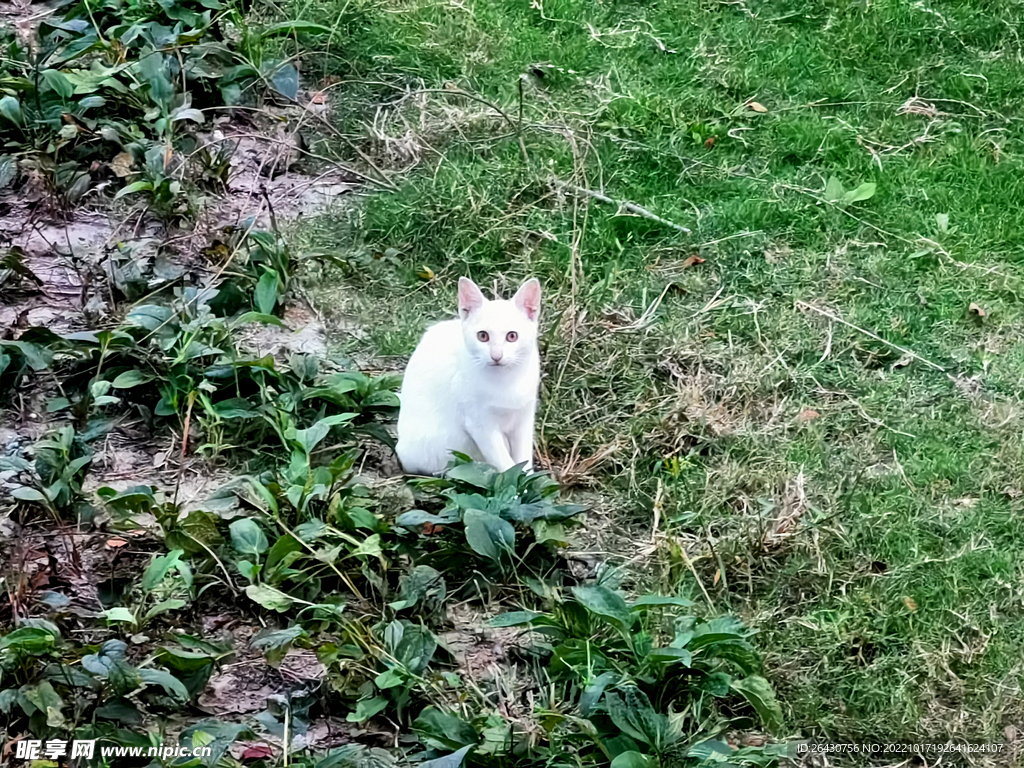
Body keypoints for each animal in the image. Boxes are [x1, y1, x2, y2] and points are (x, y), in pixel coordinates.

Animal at [395, 278, 544, 475]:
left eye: (512, 336)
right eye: (483, 336)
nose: (496, 356)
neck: (506, 382)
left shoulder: (524, 418)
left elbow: (523, 458)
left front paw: (528, 478)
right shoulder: (479, 424)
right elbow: (505, 463)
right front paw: (516, 482)